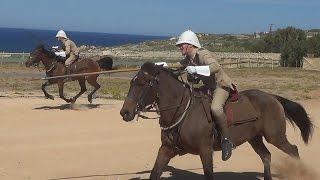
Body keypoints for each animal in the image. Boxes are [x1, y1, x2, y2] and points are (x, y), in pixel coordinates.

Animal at [119, 62, 312, 180]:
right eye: (131, 82)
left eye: (143, 83)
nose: (125, 112)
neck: (182, 111)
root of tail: (272, 97)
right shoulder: (166, 149)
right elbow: (154, 173)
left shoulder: (205, 150)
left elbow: (209, 174)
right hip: (254, 138)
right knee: (266, 156)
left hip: (275, 136)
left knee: (293, 151)